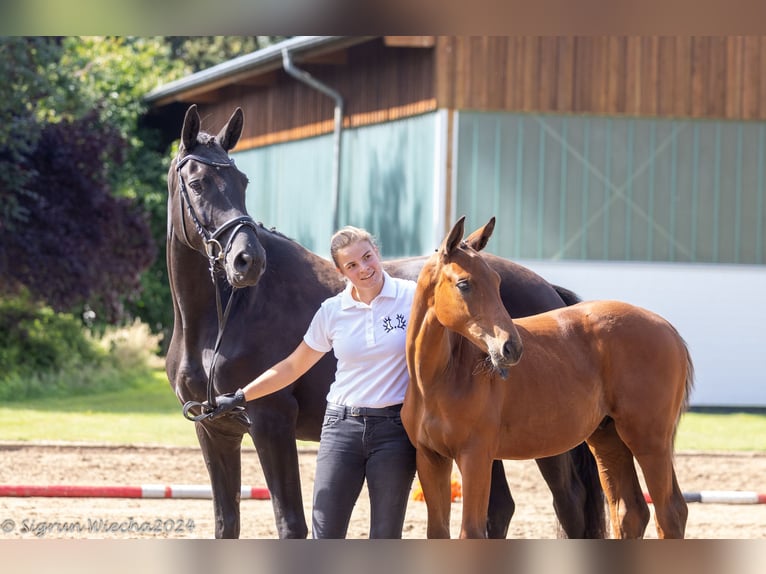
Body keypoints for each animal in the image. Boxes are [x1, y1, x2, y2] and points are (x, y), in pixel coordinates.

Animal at [166, 104, 608, 540]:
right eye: (198, 183)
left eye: (242, 181)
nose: (248, 260)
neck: (223, 320)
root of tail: (550, 290)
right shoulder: (215, 432)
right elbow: (226, 523)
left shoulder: (271, 422)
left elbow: (290, 524)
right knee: (501, 509)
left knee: (568, 503)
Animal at [404, 216, 700, 540]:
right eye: (464, 283)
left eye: (497, 282)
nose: (511, 347)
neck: (440, 377)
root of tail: (668, 329)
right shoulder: (431, 459)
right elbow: (437, 531)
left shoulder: (476, 457)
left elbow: (471, 531)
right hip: (608, 439)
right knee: (630, 512)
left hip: (649, 440)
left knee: (670, 513)